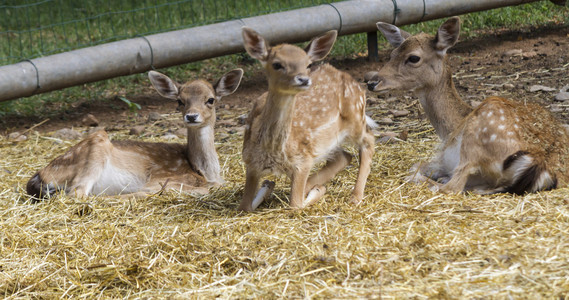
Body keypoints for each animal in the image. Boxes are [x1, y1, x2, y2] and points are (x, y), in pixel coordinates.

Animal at [25, 69, 243, 198]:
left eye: (211, 99)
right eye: (180, 101)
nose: (191, 116)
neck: (205, 171)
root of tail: (38, 177)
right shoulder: (161, 178)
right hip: (97, 142)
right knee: (77, 194)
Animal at [240, 27, 378, 211]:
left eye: (308, 64)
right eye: (277, 64)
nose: (304, 79)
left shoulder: (302, 161)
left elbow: (295, 204)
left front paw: (318, 189)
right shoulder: (250, 162)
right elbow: (245, 206)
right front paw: (268, 185)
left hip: (356, 118)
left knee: (369, 140)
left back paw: (355, 196)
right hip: (328, 141)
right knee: (344, 155)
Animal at [368, 16, 568, 195]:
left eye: (414, 58)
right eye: (392, 54)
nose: (372, 82)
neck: (449, 130)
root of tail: (541, 165)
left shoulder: (446, 159)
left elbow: (415, 167)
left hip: (475, 139)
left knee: (451, 187)